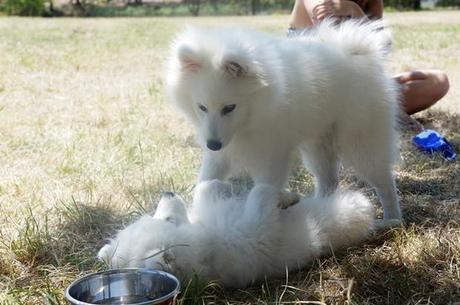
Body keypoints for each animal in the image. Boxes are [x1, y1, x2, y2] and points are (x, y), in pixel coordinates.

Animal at [167, 20, 400, 222]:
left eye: (229, 107)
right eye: (202, 107)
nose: (213, 144)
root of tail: (360, 53)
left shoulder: (271, 155)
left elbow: (265, 187)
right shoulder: (220, 154)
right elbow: (206, 179)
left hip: (361, 142)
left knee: (384, 183)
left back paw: (391, 219)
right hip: (318, 146)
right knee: (328, 179)